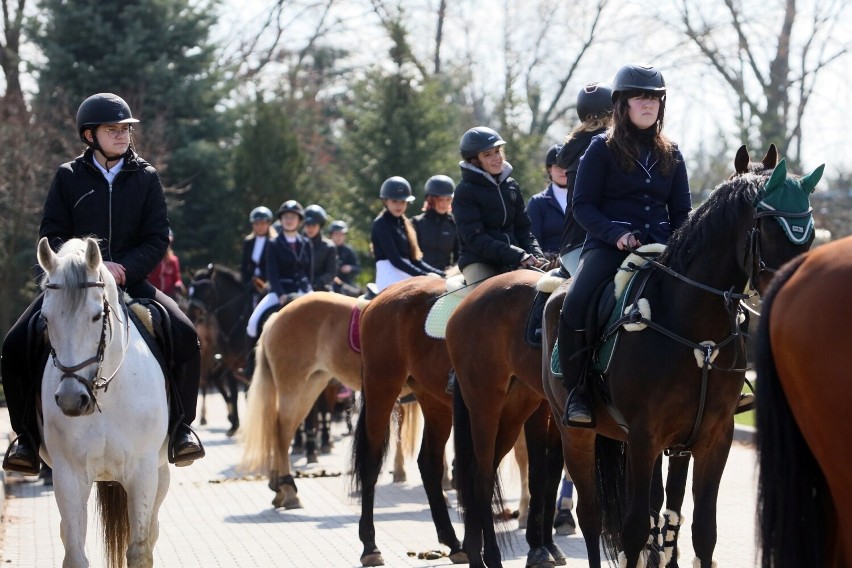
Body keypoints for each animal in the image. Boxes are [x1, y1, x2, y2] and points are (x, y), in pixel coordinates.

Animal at [36, 236, 170, 568]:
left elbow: (139, 550)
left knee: (152, 530)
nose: (72, 400)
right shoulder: (68, 475)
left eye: (97, 316)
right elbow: (74, 553)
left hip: (160, 474)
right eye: (46, 318)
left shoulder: (143, 472)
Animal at [544, 156, 824, 568]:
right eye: (772, 229)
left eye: (810, 234)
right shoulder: (644, 437)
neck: (696, 334)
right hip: (576, 434)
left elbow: (703, 531)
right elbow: (634, 529)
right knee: (592, 516)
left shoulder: (712, 438)